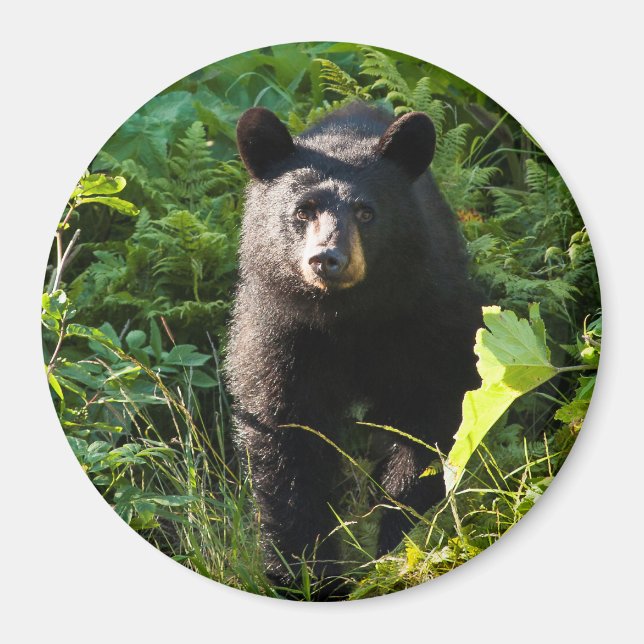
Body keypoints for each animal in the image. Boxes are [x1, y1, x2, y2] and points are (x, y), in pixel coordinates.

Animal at [226, 102, 481, 600]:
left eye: (366, 212)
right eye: (302, 211)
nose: (327, 258)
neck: (347, 316)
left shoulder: (428, 319)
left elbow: (430, 420)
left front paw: (396, 544)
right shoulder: (279, 332)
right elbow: (284, 436)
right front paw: (306, 573)